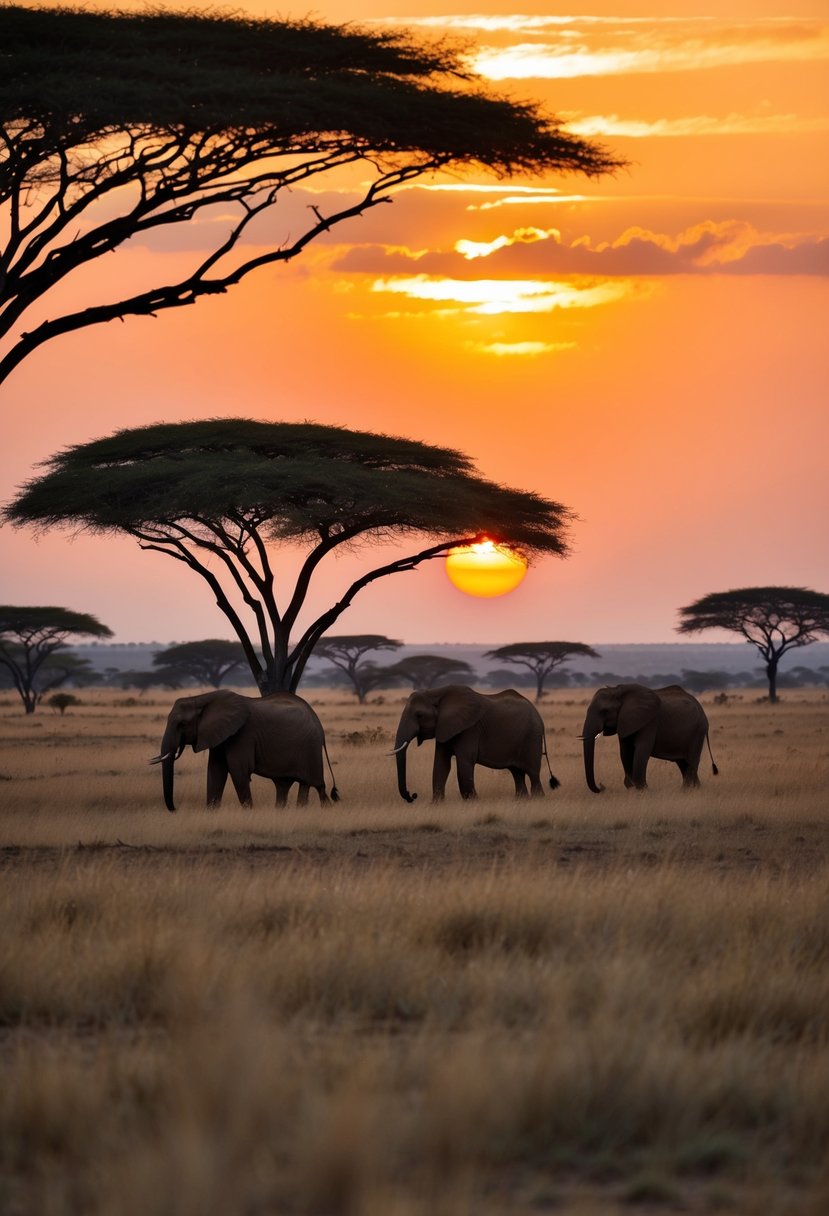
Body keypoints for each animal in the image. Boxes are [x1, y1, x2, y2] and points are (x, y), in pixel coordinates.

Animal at [150, 689, 339, 812]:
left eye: (182, 724)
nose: (175, 809)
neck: (203, 699)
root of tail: (319, 723)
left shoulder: (242, 734)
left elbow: (238, 769)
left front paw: (249, 812)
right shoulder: (220, 734)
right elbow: (215, 770)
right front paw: (211, 811)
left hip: (310, 748)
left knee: (318, 786)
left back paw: (324, 809)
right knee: (287, 785)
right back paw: (288, 811)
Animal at [392, 684, 559, 802]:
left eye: (419, 715)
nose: (412, 795)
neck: (436, 693)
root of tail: (539, 715)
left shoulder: (469, 729)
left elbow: (464, 761)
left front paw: (474, 802)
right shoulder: (445, 727)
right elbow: (441, 763)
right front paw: (436, 804)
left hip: (532, 737)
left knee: (532, 773)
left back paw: (538, 800)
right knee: (516, 773)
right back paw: (520, 800)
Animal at [580, 683, 718, 792]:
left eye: (604, 711)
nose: (602, 786)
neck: (617, 691)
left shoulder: (649, 722)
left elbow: (642, 751)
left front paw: (643, 789)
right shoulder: (625, 722)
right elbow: (625, 752)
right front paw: (632, 787)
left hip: (698, 731)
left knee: (691, 761)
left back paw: (686, 791)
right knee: (683, 763)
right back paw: (694, 789)